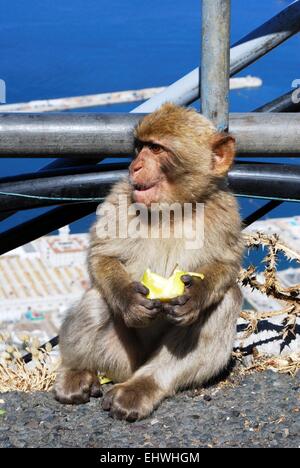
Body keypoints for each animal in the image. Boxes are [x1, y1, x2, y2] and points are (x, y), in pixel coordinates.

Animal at [54, 104, 245, 422]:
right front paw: (129, 300)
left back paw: (141, 387)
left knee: (226, 301)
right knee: (97, 299)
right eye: (139, 147)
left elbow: (227, 266)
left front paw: (196, 296)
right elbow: (102, 255)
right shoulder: (120, 196)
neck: (173, 209)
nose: (135, 167)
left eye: (156, 149)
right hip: (120, 360)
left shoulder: (226, 210)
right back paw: (77, 371)